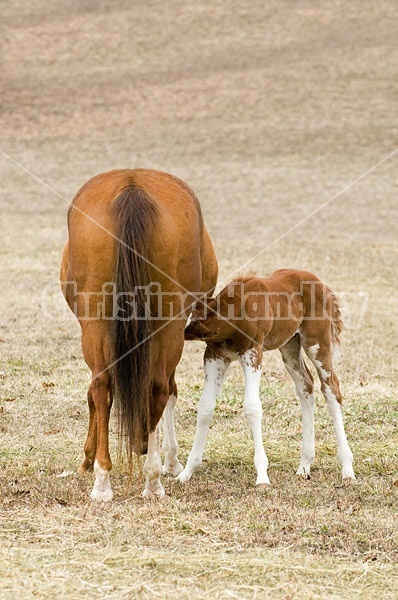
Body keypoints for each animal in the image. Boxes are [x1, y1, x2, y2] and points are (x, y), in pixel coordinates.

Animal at [60, 170, 218, 502]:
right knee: (153, 387)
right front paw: (170, 459)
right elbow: (169, 391)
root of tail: (132, 188)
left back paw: (110, 480)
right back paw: (148, 478)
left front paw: (87, 458)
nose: (141, 445)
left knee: (105, 387)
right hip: (164, 324)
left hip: (104, 323)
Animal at [179, 270, 356, 486]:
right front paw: (187, 471)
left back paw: (347, 469)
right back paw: (304, 465)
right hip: (290, 346)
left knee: (331, 389)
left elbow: (252, 407)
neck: (233, 311)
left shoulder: (253, 352)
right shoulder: (215, 356)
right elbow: (205, 407)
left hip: (317, 343)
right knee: (306, 386)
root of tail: (323, 285)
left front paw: (262, 476)